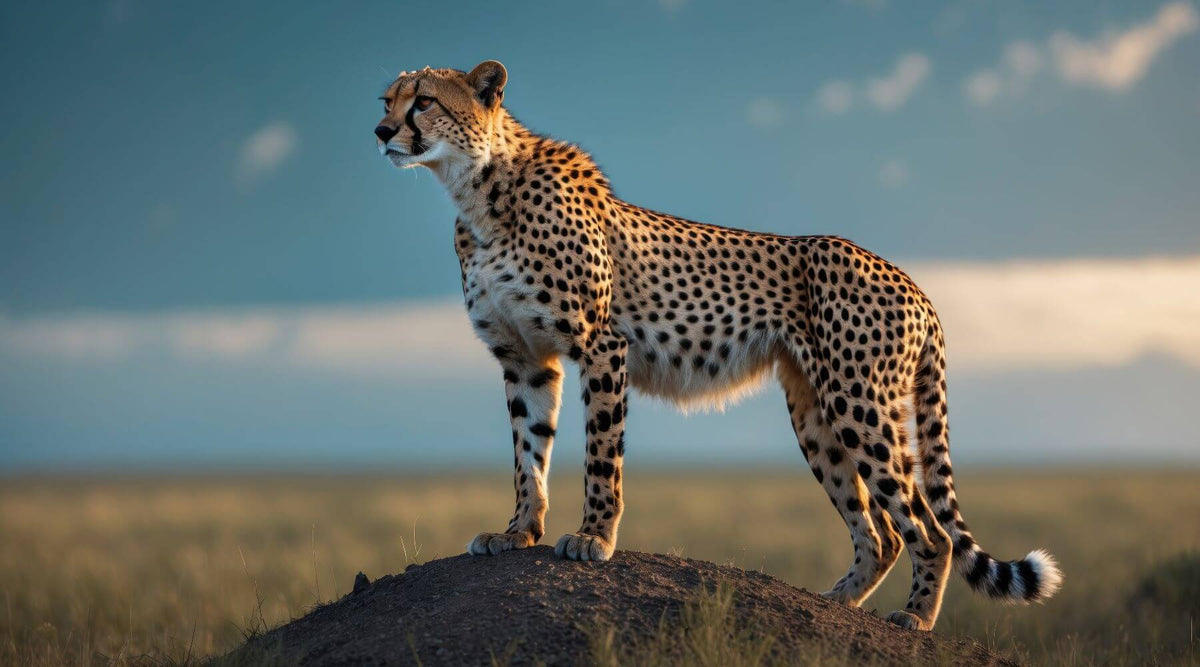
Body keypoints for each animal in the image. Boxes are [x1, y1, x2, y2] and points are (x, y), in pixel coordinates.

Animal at [372, 60, 1062, 630]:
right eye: (387, 99)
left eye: (424, 101)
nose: (380, 131)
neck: (479, 191)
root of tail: (913, 282)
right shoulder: (525, 359)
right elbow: (527, 453)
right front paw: (519, 530)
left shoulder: (602, 345)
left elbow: (600, 457)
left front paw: (593, 537)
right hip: (814, 412)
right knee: (883, 532)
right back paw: (835, 604)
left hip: (859, 402)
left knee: (929, 528)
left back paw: (915, 617)